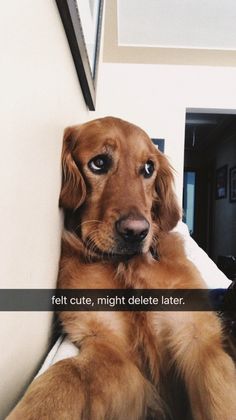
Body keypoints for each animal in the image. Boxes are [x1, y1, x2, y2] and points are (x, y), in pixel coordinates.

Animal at [8, 117, 236, 420]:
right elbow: (65, 372)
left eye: (148, 168)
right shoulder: (110, 347)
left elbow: (220, 400)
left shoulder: (197, 340)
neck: (126, 265)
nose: (136, 232)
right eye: (99, 163)